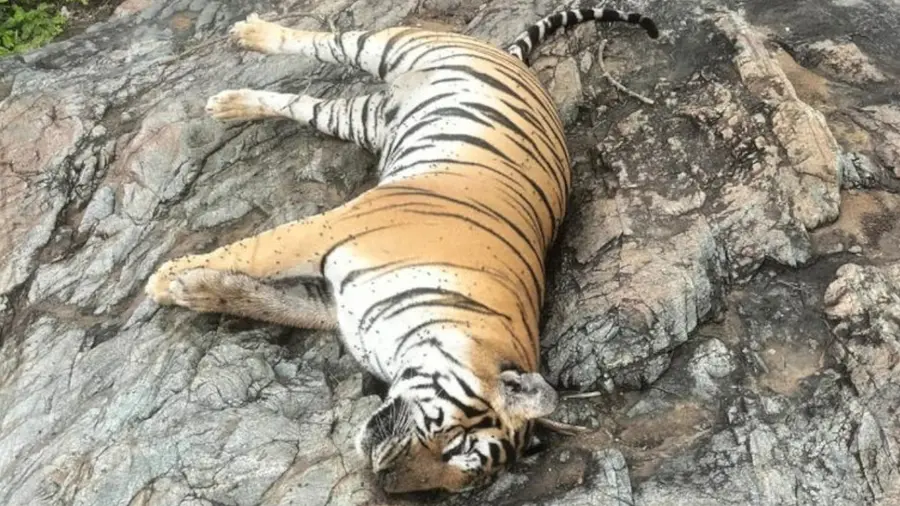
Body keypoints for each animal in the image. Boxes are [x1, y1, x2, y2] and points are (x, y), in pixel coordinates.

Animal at [145, 6, 658, 494]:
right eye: (456, 444)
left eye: (457, 478)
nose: (383, 478)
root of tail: (513, 60)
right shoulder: (328, 231)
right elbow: (253, 253)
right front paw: (164, 279)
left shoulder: (332, 305)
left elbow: (265, 301)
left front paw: (194, 289)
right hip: (393, 46)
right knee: (324, 42)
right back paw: (251, 35)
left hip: (360, 120)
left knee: (303, 104)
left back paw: (231, 104)